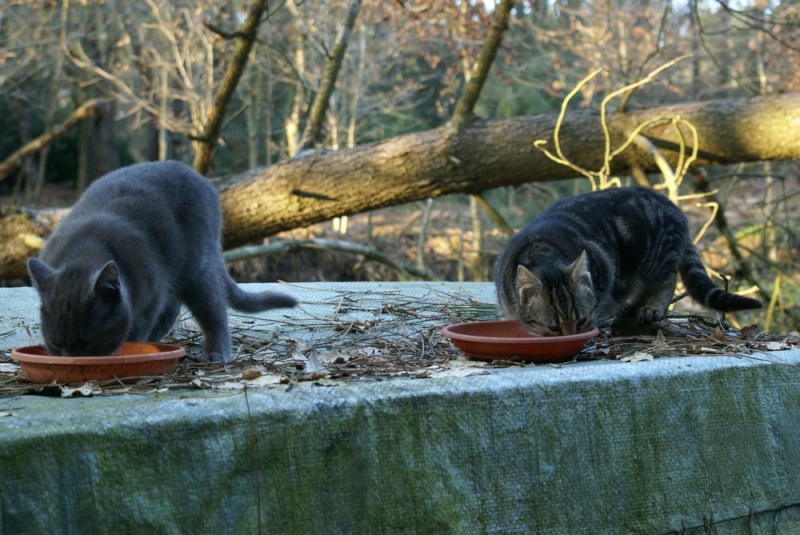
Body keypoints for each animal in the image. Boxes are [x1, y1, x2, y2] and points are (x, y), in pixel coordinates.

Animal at [27, 159, 300, 360]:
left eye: (87, 342)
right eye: (55, 343)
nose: (70, 359)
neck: (87, 251)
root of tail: (200, 178)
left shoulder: (150, 297)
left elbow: (137, 328)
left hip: (197, 266)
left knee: (212, 310)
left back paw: (215, 353)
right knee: (173, 307)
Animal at [494, 188, 764, 338]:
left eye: (581, 321)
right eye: (553, 328)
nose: (574, 335)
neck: (543, 250)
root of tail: (675, 209)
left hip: (651, 258)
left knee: (667, 279)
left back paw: (650, 308)